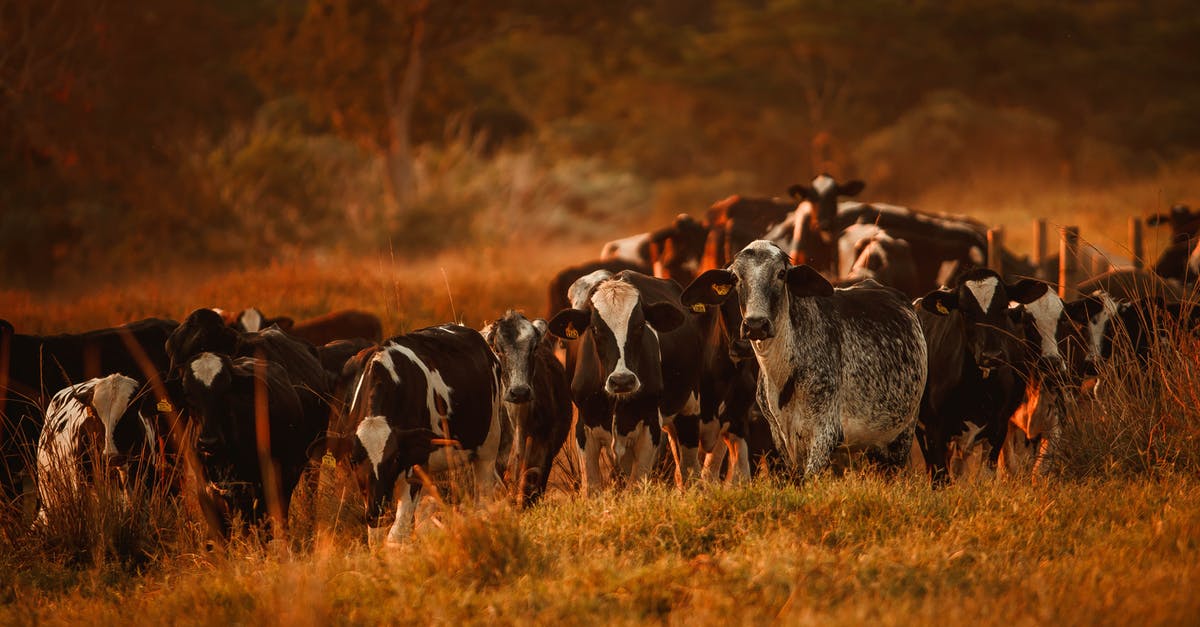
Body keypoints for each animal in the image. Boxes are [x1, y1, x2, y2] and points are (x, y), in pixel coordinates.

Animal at [312, 324, 504, 546]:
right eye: (354, 460)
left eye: (395, 458)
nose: (376, 510)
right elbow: (376, 538)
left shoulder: (413, 466)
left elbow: (396, 535)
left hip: (489, 446)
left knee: (484, 498)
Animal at [549, 271, 703, 494]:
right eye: (595, 329)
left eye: (639, 326)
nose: (622, 381)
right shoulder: (584, 428)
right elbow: (592, 487)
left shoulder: (650, 426)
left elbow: (637, 485)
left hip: (689, 410)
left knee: (689, 470)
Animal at [681, 240, 928, 479]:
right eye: (735, 277)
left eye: (781, 274)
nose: (756, 325)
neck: (783, 374)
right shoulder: (781, 439)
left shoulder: (825, 434)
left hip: (901, 437)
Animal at [914, 269, 1053, 485]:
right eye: (965, 311)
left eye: (1003, 307)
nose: (992, 355)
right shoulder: (933, 428)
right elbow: (940, 477)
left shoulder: (998, 426)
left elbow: (986, 474)